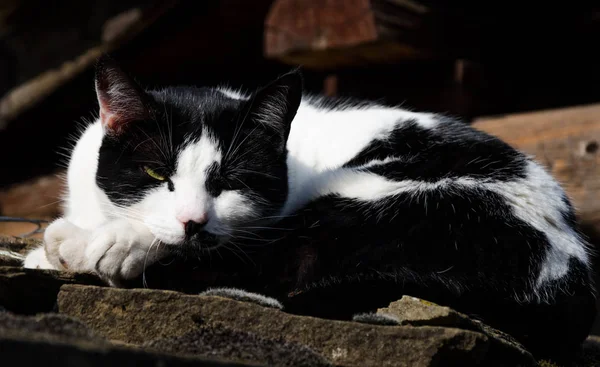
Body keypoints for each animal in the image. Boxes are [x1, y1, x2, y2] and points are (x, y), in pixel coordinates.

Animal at [23, 56, 596, 360]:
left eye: (231, 182)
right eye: (155, 175)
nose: (194, 221)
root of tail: (570, 274)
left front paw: (105, 243)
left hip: (387, 204)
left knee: (274, 270)